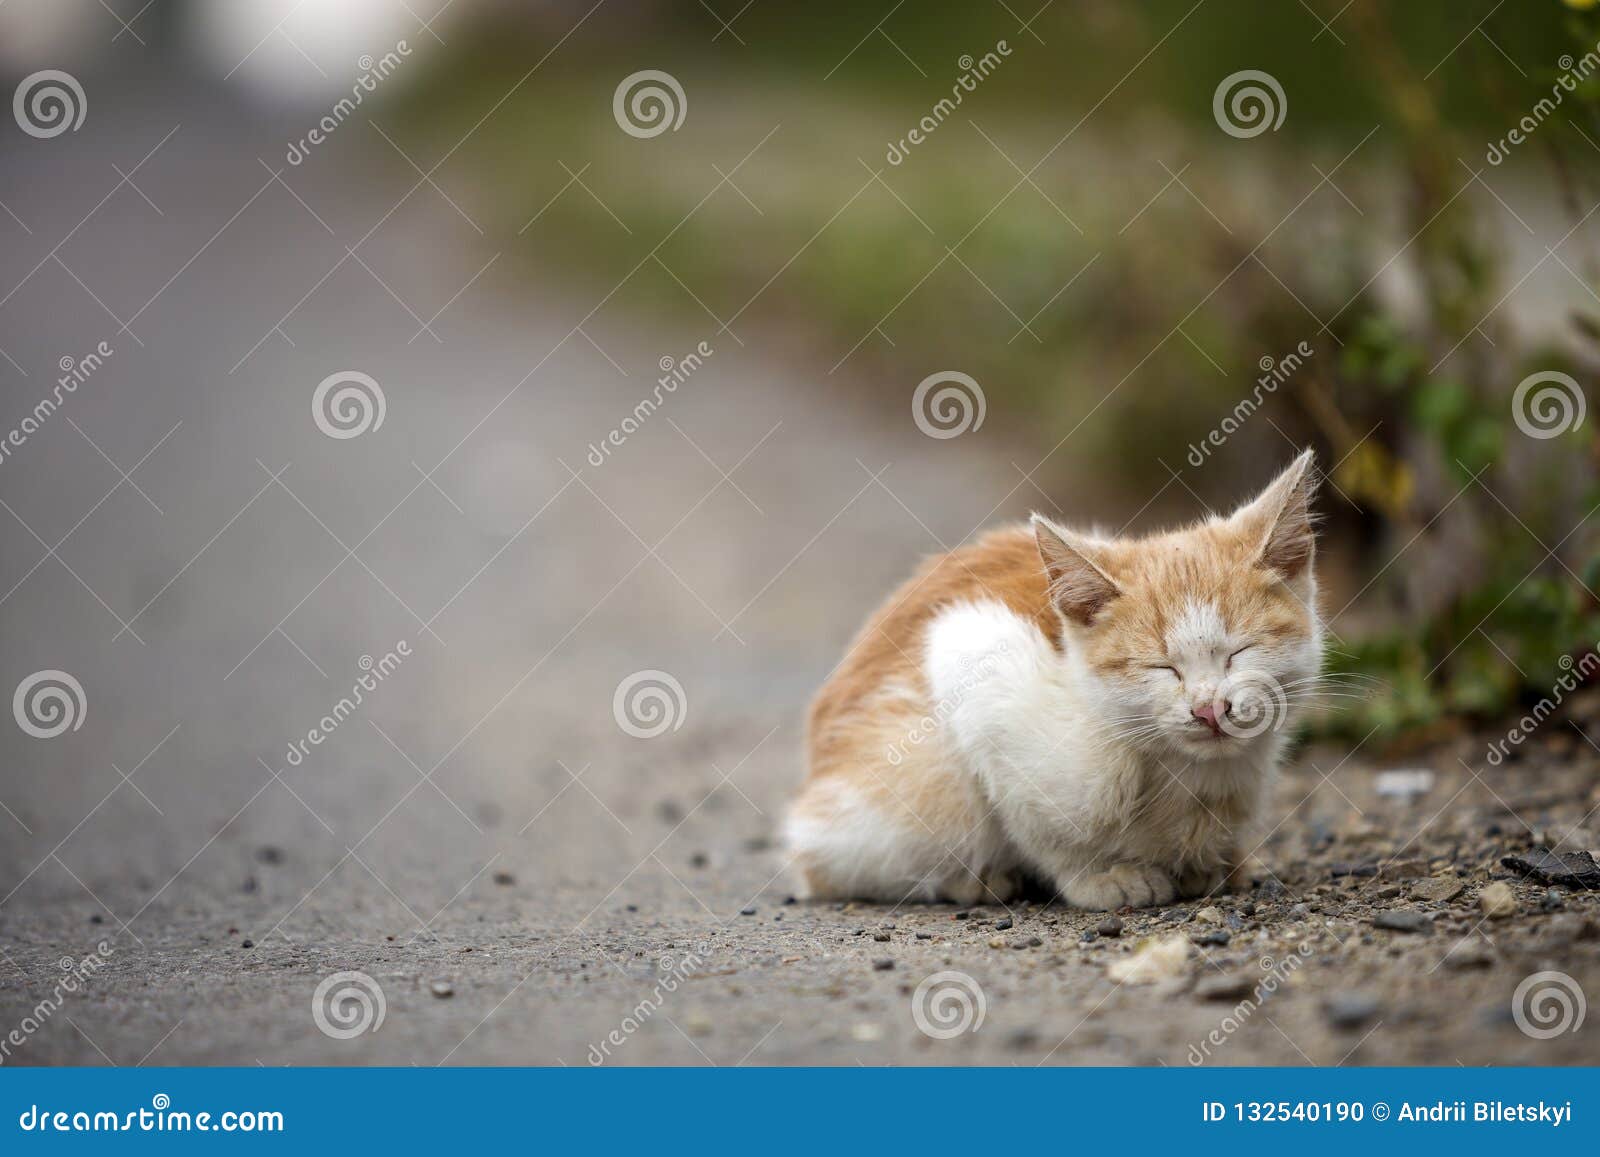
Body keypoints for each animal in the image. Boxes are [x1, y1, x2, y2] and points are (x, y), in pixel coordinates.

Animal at [787, 451, 1324, 915]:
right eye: (1160, 668)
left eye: (1239, 653)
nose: (1208, 708)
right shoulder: (971, 649)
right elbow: (1042, 829)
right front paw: (1099, 876)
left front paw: (1213, 865)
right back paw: (974, 880)